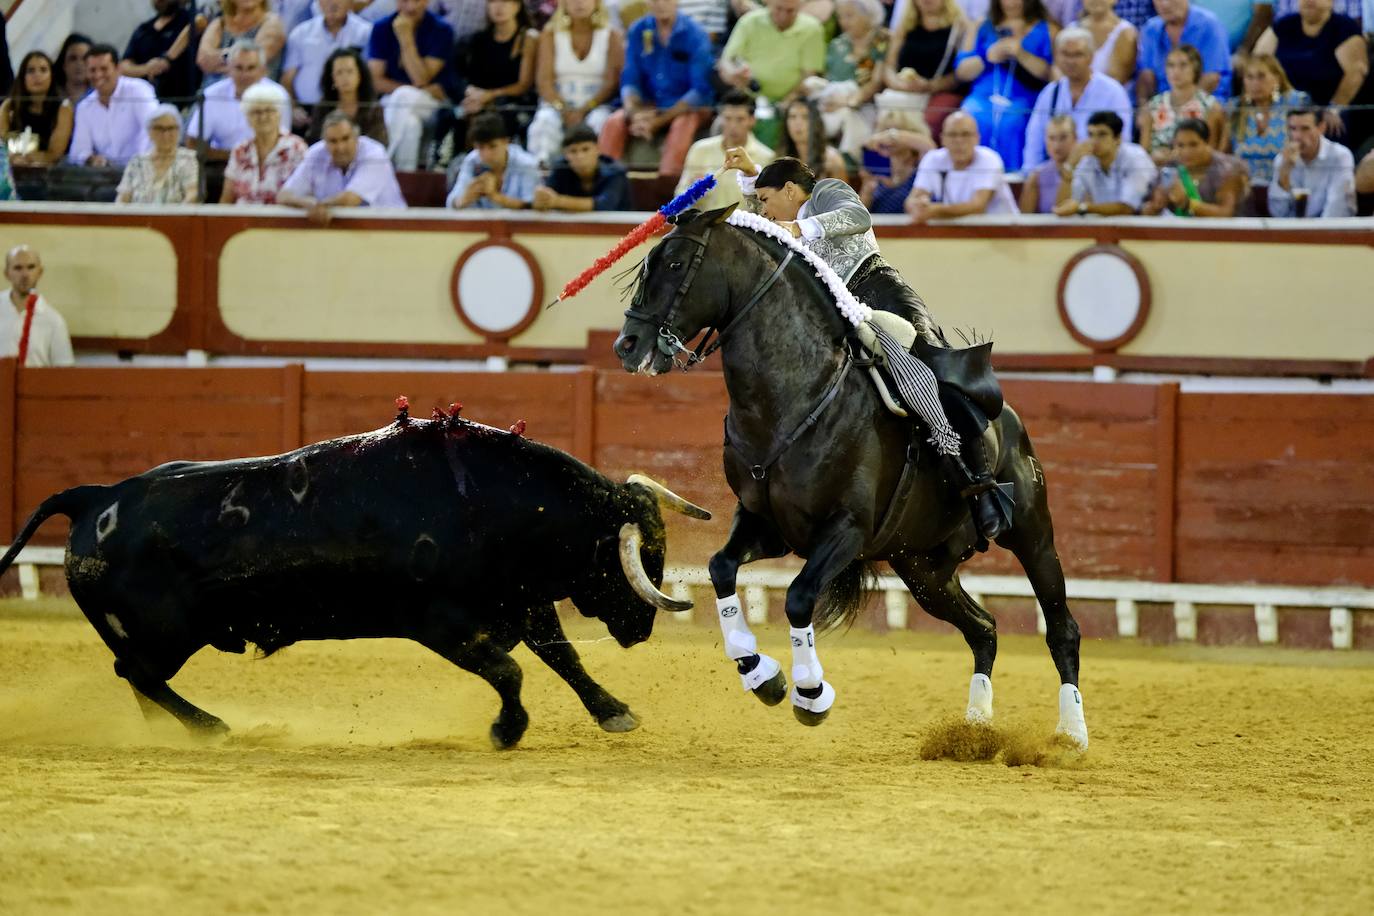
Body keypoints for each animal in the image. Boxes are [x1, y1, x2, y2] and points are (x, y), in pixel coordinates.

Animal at [0, 411, 708, 747]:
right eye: (628, 557)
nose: (641, 628)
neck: (486, 502)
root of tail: (96, 496)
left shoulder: (522, 599)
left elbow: (561, 657)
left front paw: (615, 713)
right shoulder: (440, 623)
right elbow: (510, 670)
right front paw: (506, 731)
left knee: (138, 680)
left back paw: (173, 732)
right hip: (164, 633)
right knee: (138, 674)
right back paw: (210, 729)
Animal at [618, 207, 1088, 752]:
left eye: (675, 262)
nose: (627, 345)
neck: (794, 398)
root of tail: (1008, 417)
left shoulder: (846, 530)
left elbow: (799, 597)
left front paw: (810, 693)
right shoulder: (767, 524)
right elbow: (720, 568)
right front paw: (760, 674)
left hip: (1032, 534)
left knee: (1061, 627)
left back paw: (1071, 733)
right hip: (924, 568)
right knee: (984, 628)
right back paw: (974, 727)